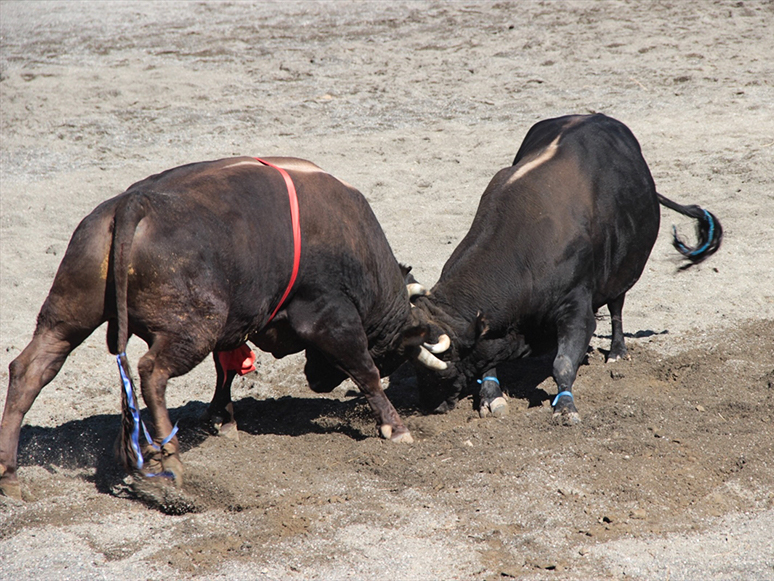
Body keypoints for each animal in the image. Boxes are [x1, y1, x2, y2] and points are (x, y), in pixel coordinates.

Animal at [0, 157, 428, 498]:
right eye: (391, 357)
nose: (317, 382)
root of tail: (135, 202)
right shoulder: (330, 315)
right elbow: (364, 371)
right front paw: (395, 427)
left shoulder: (236, 324)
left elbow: (226, 371)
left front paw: (222, 418)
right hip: (192, 330)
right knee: (152, 372)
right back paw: (171, 461)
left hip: (67, 316)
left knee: (30, 369)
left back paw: (10, 476)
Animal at [412, 113, 720, 422]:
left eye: (444, 363)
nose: (427, 406)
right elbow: (487, 360)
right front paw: (491, 396)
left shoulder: (577, 309)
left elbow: (562, 363)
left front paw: (565, 407)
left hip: (622, 272)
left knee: (617, 307)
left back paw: (617, 351)